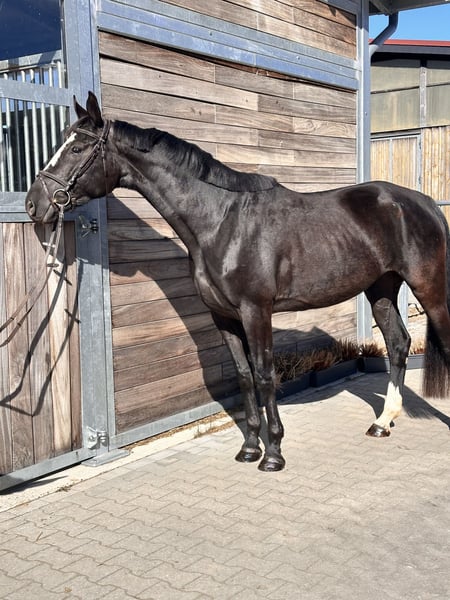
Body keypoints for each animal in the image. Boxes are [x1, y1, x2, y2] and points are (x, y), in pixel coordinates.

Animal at [25, 92, 450, 471]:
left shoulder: (255, 312)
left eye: (77, 148)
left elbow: (264, 375)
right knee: (398, 343)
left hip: (428, 288)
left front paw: (274, 453)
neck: (221, 222)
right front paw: (249, 448)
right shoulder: (224, 316)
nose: (34, 204)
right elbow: (244, 377)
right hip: (381, 288)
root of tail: (425, 203)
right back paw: (382, 422)